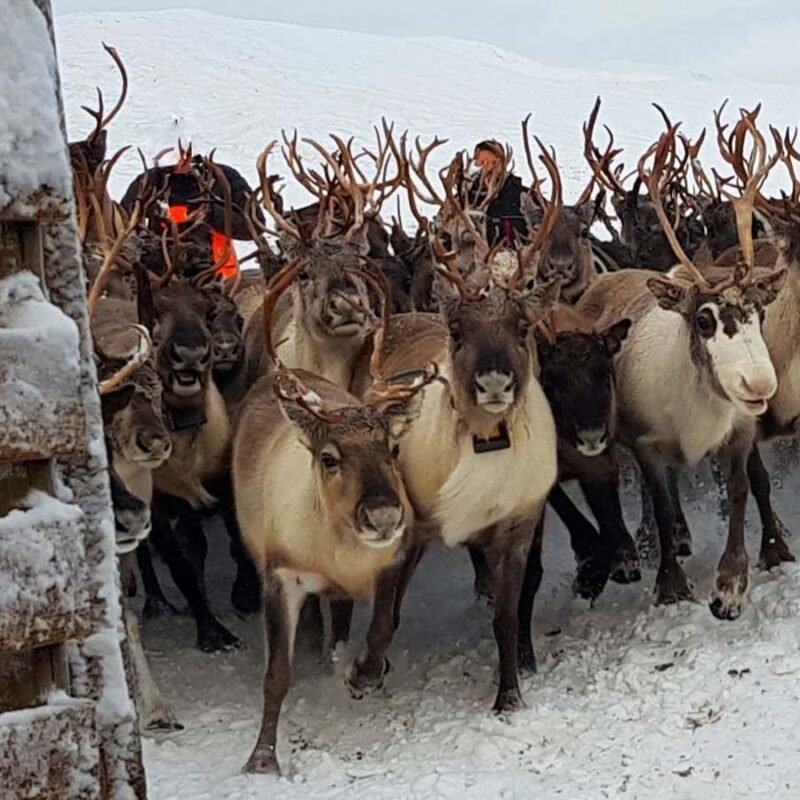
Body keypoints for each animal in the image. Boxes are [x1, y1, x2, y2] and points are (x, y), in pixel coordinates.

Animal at [234, 263, 433, 775]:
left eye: (393, 448)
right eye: (329, 458)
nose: (383, 514)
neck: (339, 552)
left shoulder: (392, 560)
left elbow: (382, 627)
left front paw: (362, 675)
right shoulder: (280, 575)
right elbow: (276, 675)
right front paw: (262, 759)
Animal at [575, 118, 785, 619]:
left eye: (760, 313)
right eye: (704, 319)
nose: (758, 382)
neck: (698, 414)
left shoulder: (739, 433)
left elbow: (743, 489)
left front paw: (731, 586)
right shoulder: (647, 444)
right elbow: (663, 507)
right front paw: (670, 585)